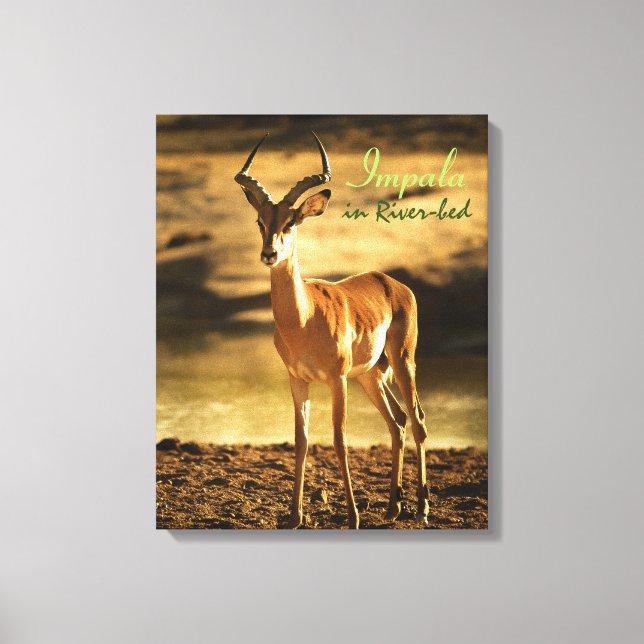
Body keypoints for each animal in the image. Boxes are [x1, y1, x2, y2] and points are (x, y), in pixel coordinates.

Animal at [234, 132, 429, 529]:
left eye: (291, 222)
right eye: (261, 220)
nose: (269, 253)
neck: (303, 320)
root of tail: (393, 283)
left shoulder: (337, 380)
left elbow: (339, 440)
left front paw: (352, 516)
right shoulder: (298, 380)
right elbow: (302, 439)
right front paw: (294, 516)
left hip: (402, 361)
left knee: (417, 419)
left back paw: (421, 507)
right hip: (370, 375)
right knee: (398, 421)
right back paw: (393, 507)